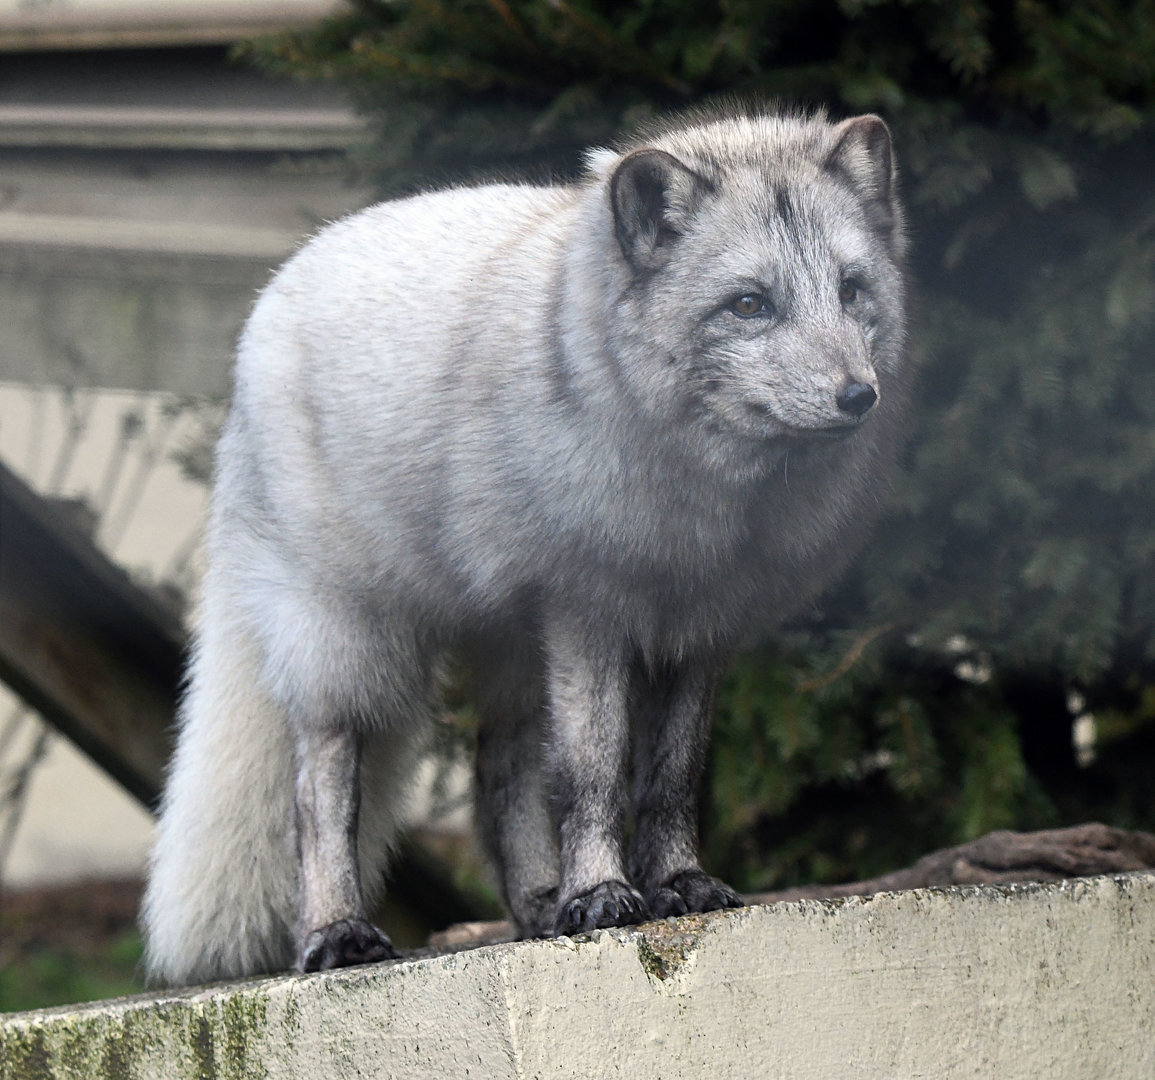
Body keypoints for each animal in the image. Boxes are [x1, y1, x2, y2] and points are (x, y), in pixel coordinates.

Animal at [141, 107, 909, 987]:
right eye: (749, 304)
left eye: (850, 290)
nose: (858, 396)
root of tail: (280, 282)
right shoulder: (587, 609)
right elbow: (593, 773)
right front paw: (603, 896)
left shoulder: (698, 627)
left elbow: (671, 777)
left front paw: (676, 884)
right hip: (345, 634)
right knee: (321, 784)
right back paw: (336, 932)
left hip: (510, 644)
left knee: (497, 769)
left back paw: (538, 907)